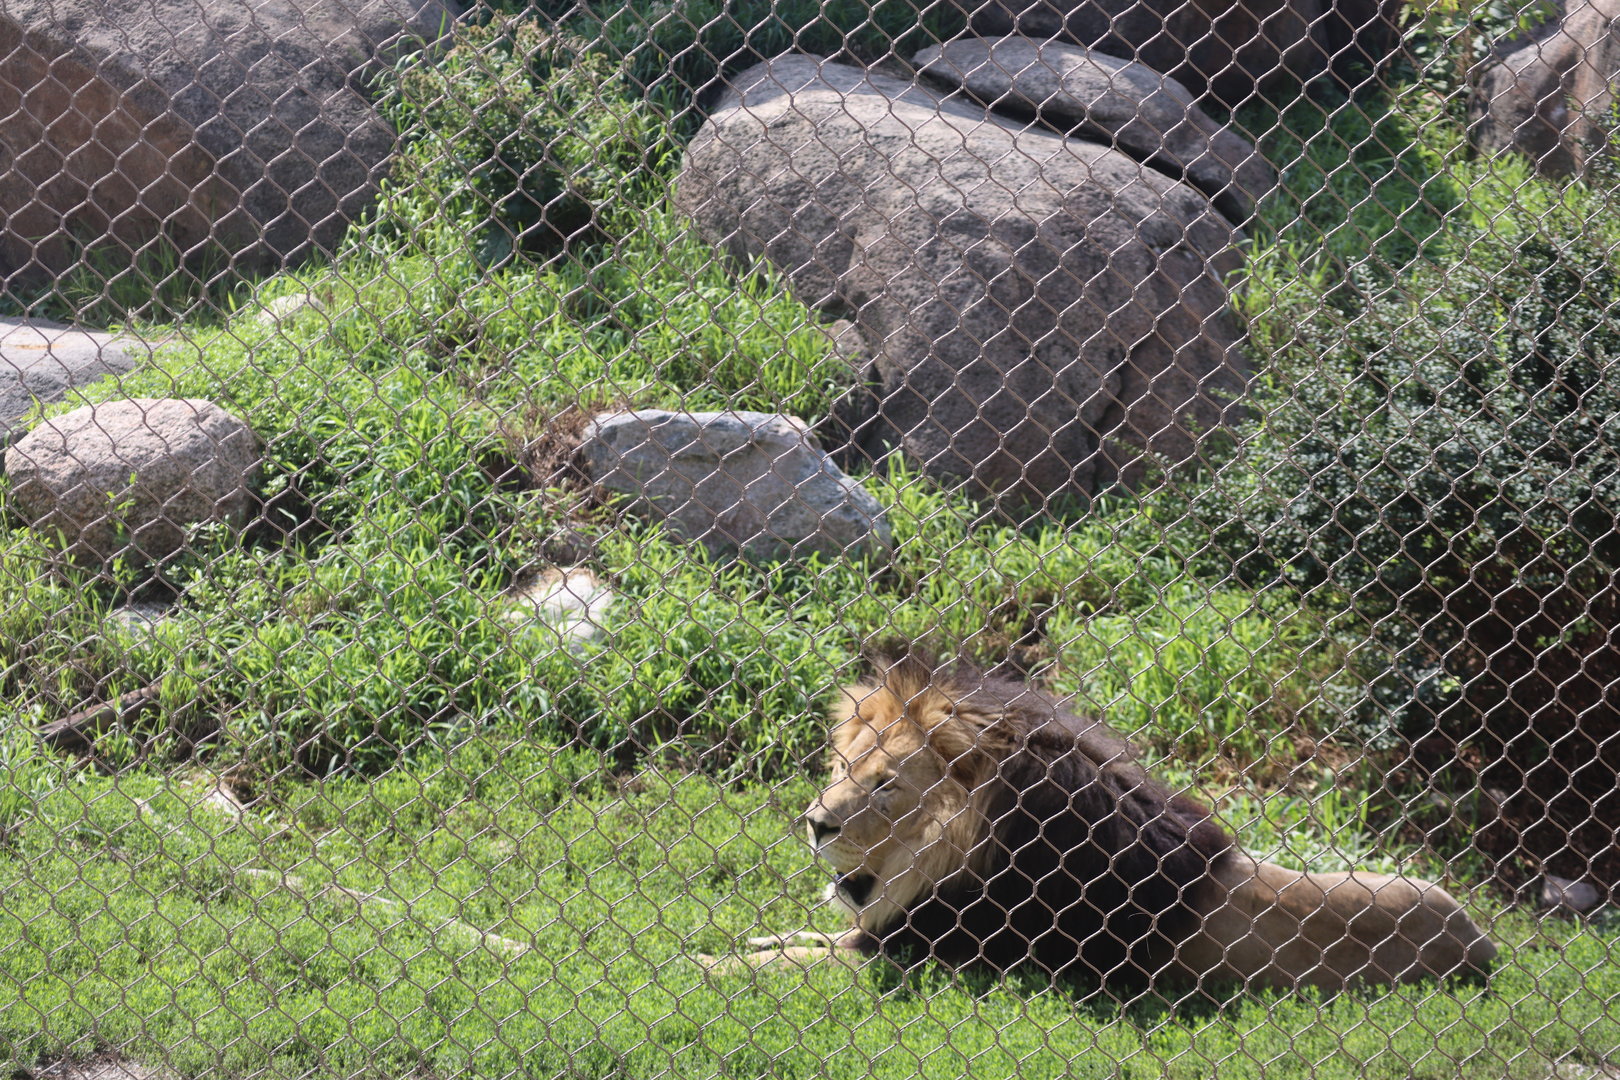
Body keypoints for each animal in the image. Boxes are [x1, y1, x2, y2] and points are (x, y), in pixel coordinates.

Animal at [726, 653, 1498, 991]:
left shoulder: (926, 951)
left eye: (886, 785)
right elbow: (801, 936)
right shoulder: (885, 927)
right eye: (841, 766)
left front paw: (710, 965)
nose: (814, 824)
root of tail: (1485, 943)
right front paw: (744, 936)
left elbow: (794, 957)